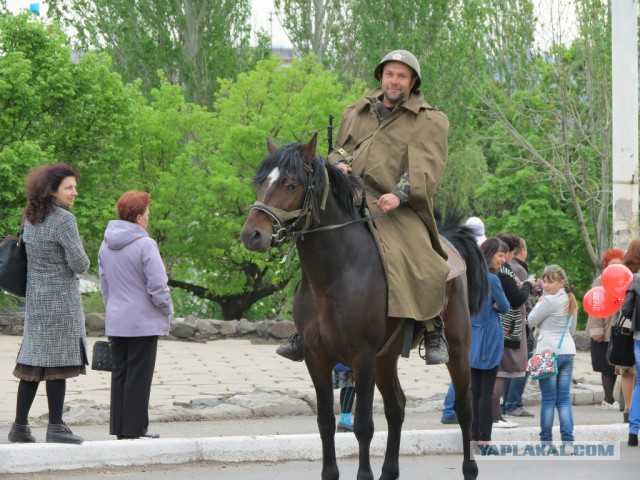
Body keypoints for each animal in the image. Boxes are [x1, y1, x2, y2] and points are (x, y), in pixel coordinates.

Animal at [242, 132, 488, 480]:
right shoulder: (317, 359)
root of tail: (448, 243)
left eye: (290, 184)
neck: (332, 277)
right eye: (261, 181)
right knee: (397, 407)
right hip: (386, 359)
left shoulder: (362, 358)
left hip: (457, 348)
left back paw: (469, 468)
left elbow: (363, 426)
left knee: (465, 410)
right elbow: (326, 422)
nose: (252, 234)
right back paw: (390, 471)